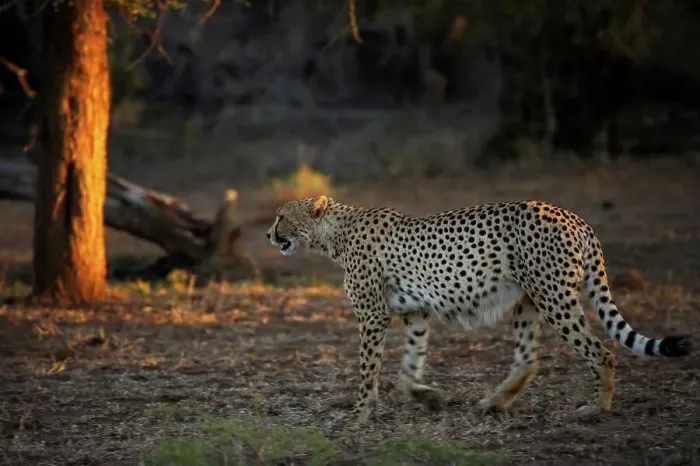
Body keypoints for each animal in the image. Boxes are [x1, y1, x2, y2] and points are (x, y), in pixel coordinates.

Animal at [266, 195, 691, 424]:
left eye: (281, 216)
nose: (269, 234)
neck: (333, 232)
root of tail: (572, 215)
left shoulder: (373, 316)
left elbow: (369, 369)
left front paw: (360, 412)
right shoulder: (416, 313)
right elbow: (408, 367)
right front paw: (427, 397)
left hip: (554, 297)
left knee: (601, 352)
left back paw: (597, 408)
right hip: (529, 301)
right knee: (528, 359)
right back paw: (493, 402)